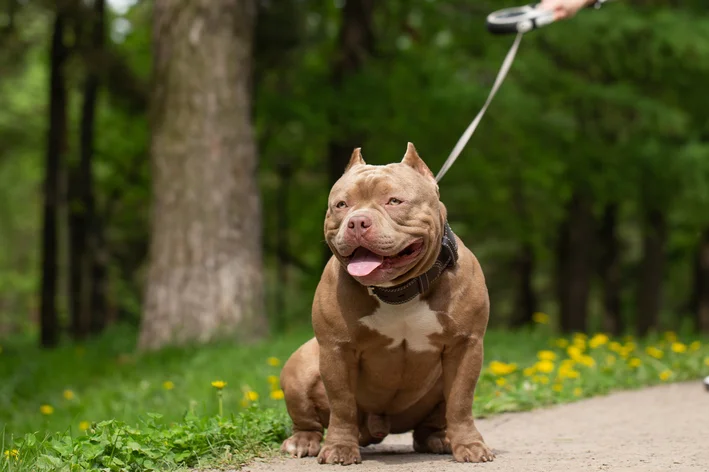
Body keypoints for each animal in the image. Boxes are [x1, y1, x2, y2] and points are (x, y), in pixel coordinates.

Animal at [276, 143, 492, 464]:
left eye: (393, 201)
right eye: (341, 205)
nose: (357, 221)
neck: (398, 291)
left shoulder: (465, 345)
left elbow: (461, 401)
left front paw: (469, 445)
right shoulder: (336, 349)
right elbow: (342, 404)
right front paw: (339, 447)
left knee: (433, 421)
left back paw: (440, 438)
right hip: (299, 367)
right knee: (308, 419)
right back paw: (303, 441)